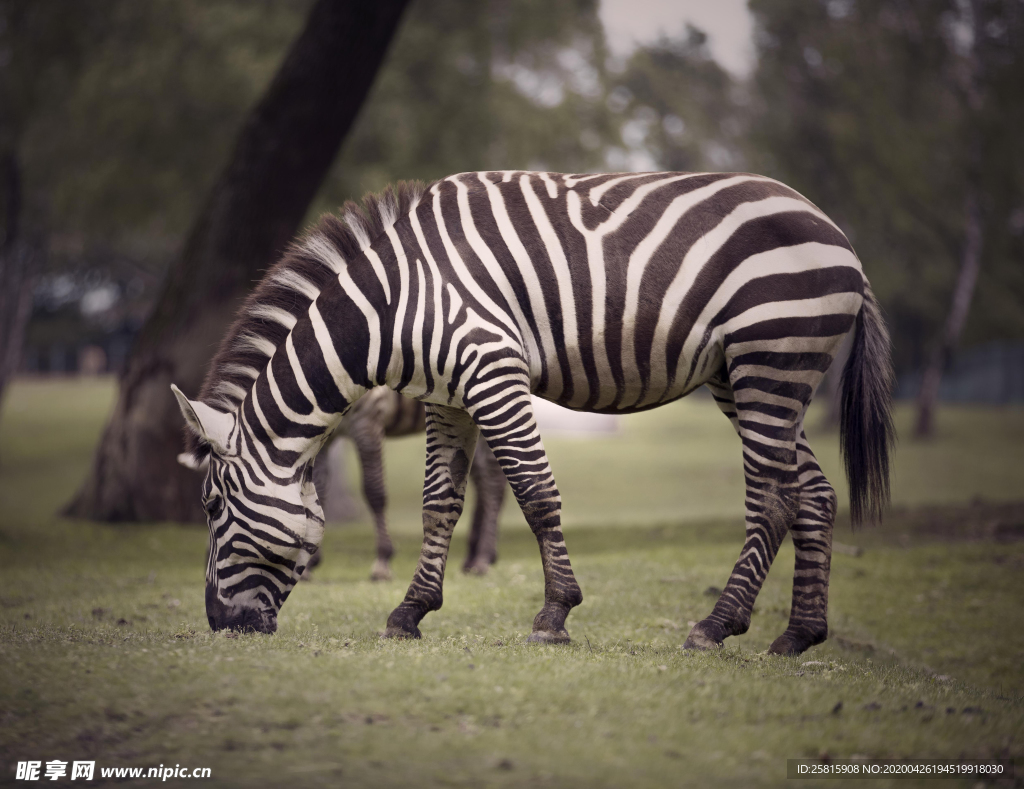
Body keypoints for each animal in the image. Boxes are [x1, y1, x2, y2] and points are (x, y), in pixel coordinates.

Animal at [176, 167, 897, 654]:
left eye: (212, 507)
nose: (217, 623)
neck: (393, 303)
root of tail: (838, 235)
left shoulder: (491, 368)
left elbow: (535, 490)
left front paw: (555, 613)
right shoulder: (446, 398)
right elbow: (439, 502)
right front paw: (410, 611)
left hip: (769, 358)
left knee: (772, 497)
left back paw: (717, 625)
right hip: (751, 375)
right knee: (813, 494)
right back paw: (799, 635)